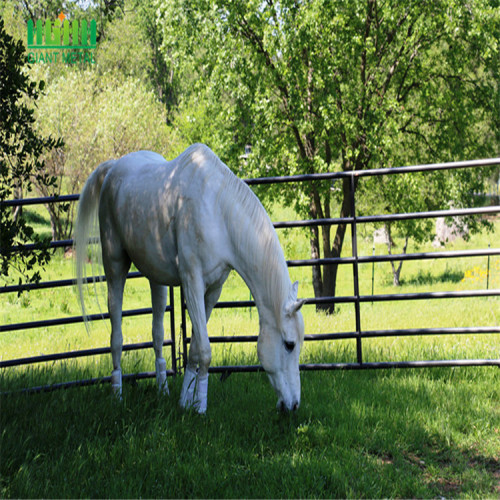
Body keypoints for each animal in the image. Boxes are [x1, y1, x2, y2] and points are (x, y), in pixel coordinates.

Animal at [74, 143, 304, 412]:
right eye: (289, 344)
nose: (294, 405)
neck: (217, 211)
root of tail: (113, 168)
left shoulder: (213, 290)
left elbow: (194, 348)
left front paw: (186, 400)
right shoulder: (192, 283)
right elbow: (203, 350)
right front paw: (200, 406)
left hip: (157, 280)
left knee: (157, 335)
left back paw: (162, 389)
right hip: (115, 266)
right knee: (117, 335)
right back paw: (117, 394)